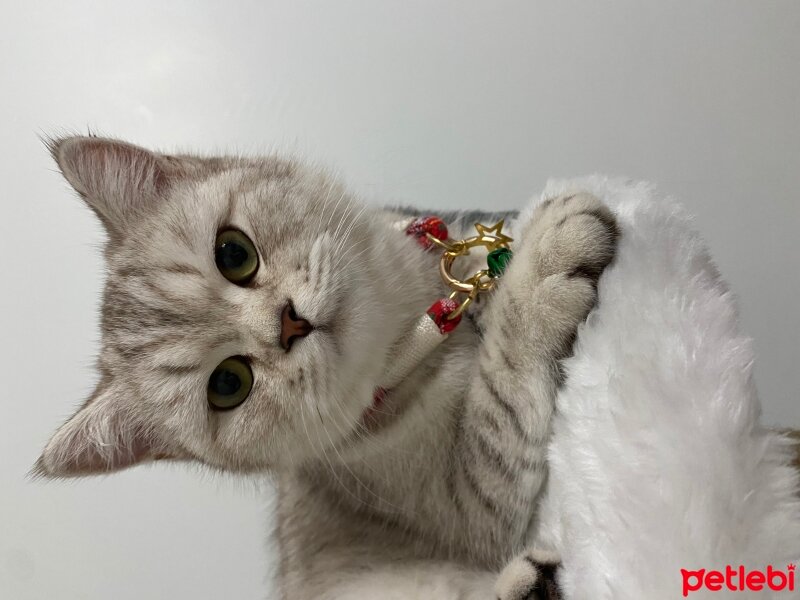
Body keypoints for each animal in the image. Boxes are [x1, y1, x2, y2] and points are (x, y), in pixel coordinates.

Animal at [37, 137, 620, 600]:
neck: (421, 325)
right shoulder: (470, 502)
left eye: (234, 253)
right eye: (228, 383)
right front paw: (540, 273)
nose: (287, 324)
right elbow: (501, 395)